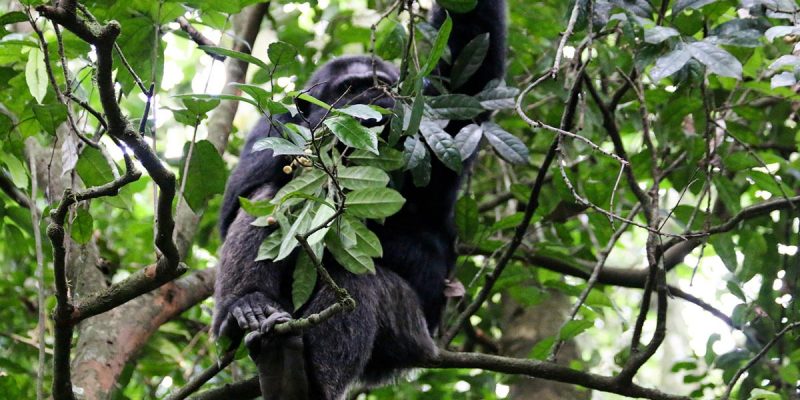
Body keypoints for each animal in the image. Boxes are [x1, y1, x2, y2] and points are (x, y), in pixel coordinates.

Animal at [212, 1, 506, 398]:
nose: (371, 101)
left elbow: (469, 69)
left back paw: (298, 380)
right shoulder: (271, 126)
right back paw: (249, 307)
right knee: (272, 200)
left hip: (409, 335)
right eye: (348, 88)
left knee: (354, 275)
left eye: (382, 84)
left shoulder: (436, 113)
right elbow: (239, 197)